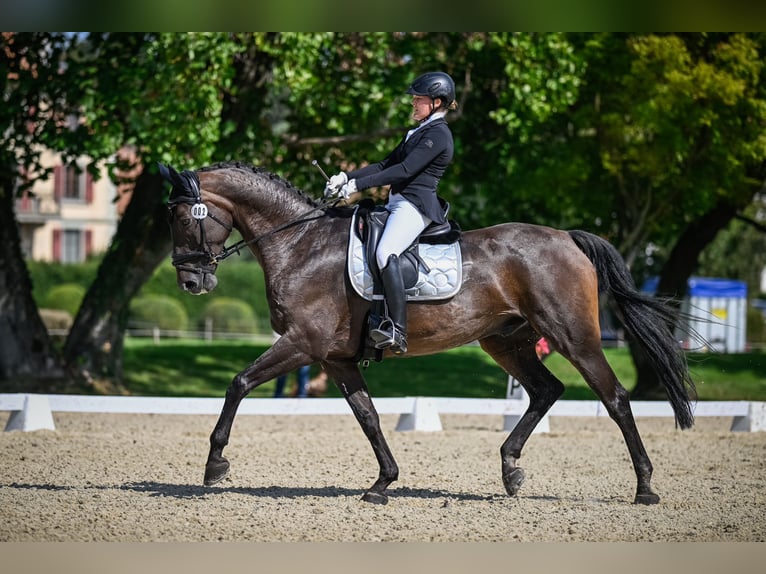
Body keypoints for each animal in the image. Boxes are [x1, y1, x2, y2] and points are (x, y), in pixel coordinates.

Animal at [160, 160, 696, 506]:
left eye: (182, 216)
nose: (190, 282)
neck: (300, 243)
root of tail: (567, 236)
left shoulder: (302, 343)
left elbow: (238, 383)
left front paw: (214, 466)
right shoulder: (335, 357)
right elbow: (369, 417)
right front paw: (382, 484)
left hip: (573, 336)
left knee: (615, 398)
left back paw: (645, 488)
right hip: (506, 340)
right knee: (547, 389)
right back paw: (511, 469)